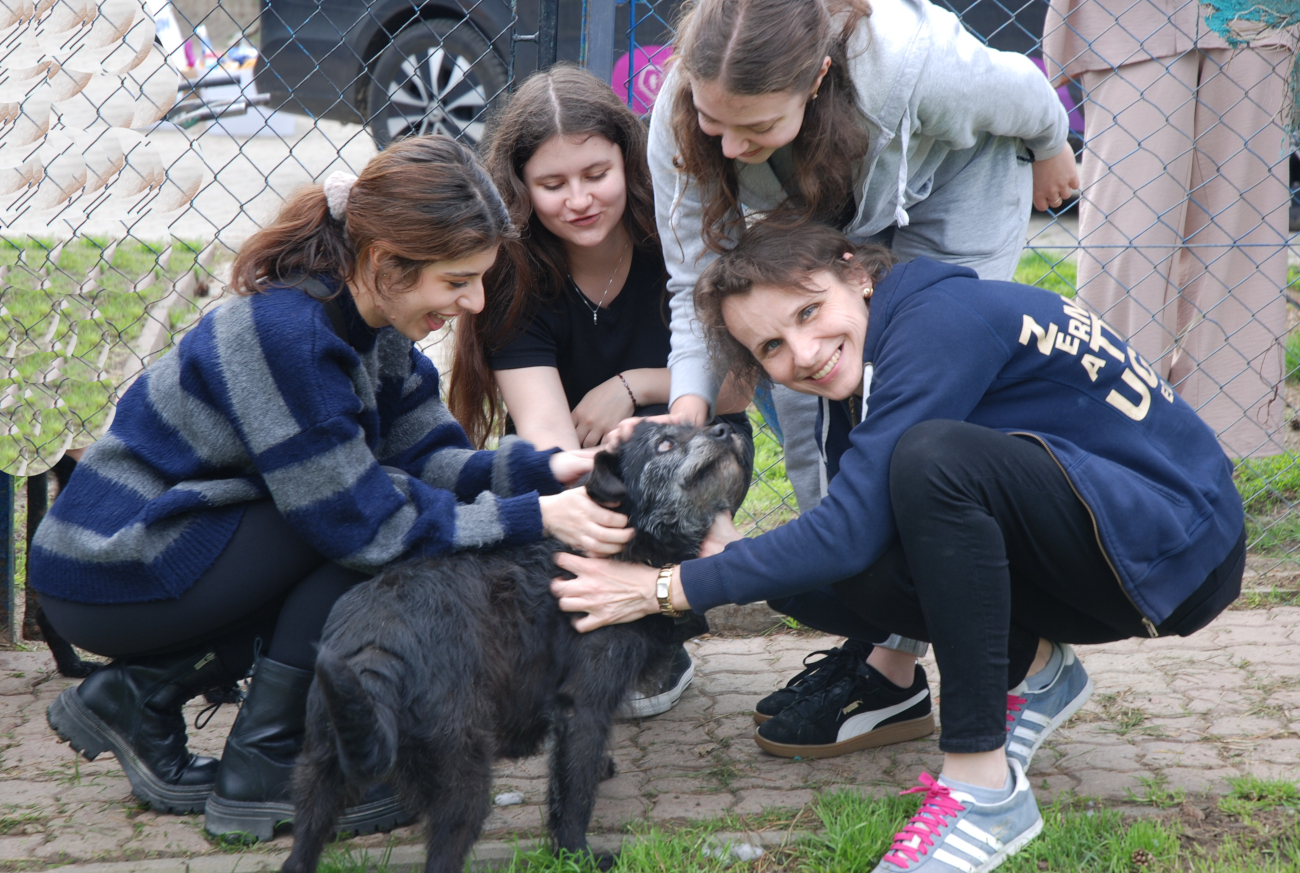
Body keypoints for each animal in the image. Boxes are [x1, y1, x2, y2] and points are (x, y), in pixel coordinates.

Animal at [281, 420, 754, 873]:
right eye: (663, 443)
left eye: (694, 423)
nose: (725, 429)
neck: (629, 537)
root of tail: (375, 643)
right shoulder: (583, 705)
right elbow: (573, 793)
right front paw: (576, 854)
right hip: (463, 775)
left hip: (320, 770)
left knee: (299, 854)